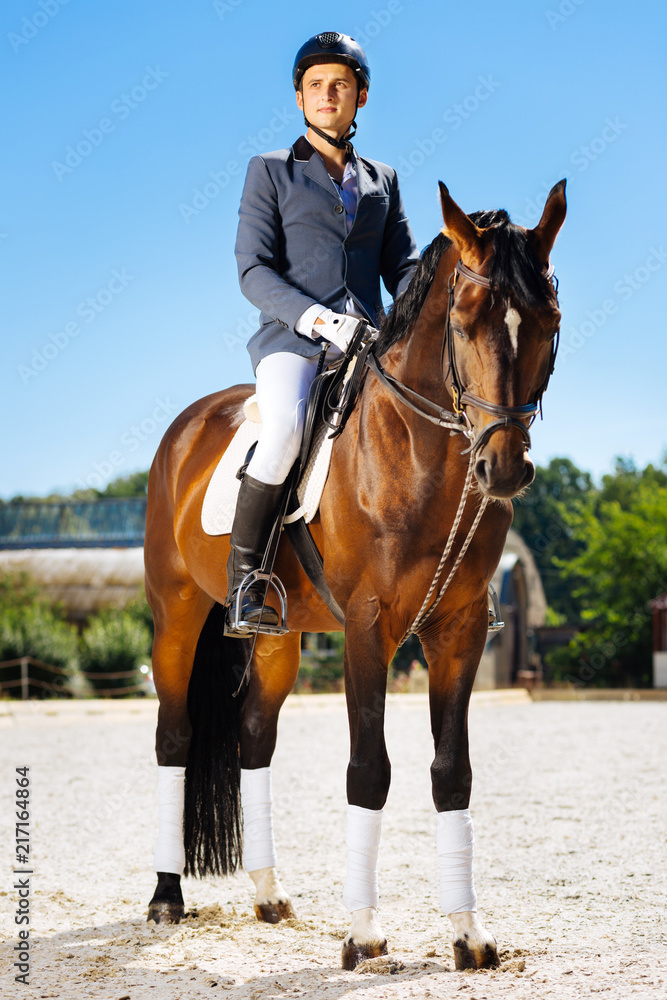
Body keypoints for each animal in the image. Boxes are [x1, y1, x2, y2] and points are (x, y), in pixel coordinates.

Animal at [144, 178, 568, 968]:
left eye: (548, 321)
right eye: (463, 322)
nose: (504, 469)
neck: (423, 454)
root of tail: (189, 423)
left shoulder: (459, 632)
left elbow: (451, 772)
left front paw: (469, 933)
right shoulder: (370, 629)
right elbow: (369, 769)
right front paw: (364, 932)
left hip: (277, 635)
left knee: (253, 734)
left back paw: (269, 894)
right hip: (177, 613)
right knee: (174, 736)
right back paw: (164, 897)